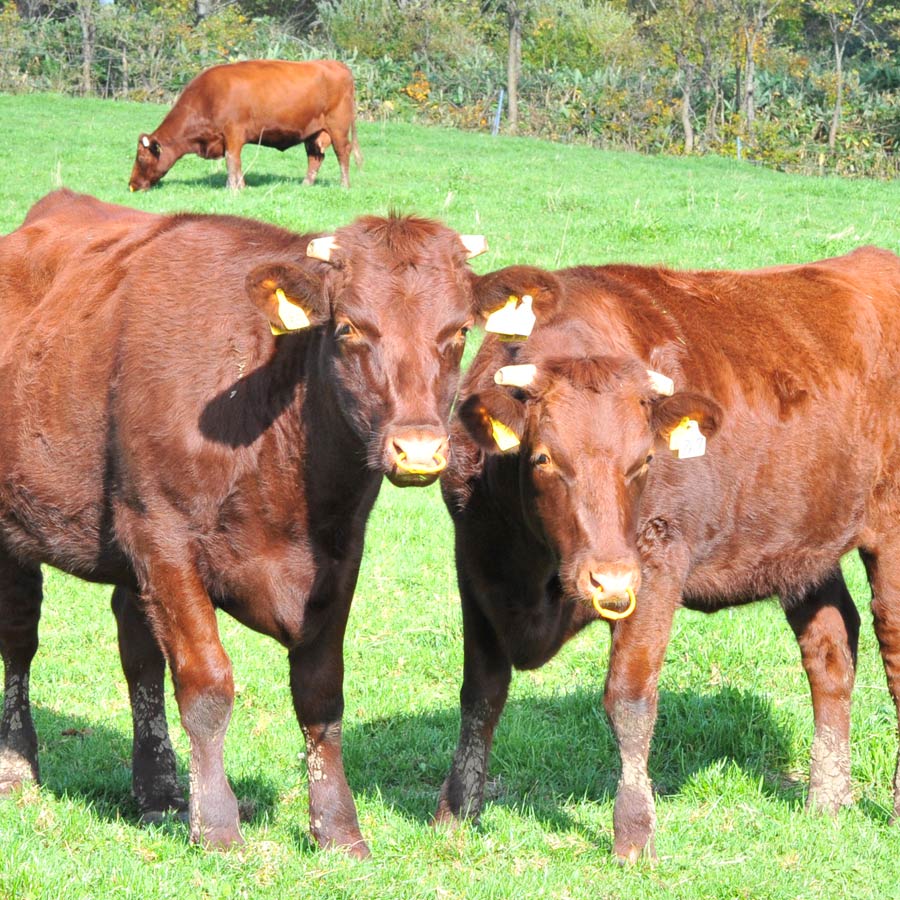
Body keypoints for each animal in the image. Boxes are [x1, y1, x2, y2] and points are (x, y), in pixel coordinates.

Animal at [0, 188, 486, 856]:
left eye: (460, 331)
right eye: (349, 327)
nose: (418, 450)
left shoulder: (340, 554)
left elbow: (320, 694)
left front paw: (339, 831)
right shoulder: (163, 536)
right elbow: (207, 685)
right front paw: (217, 825)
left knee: (137, 651)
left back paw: (159, 792)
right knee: (19, 638)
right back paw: (18, 767)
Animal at [130, 58, 362, 192]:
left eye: (141, 158)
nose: (131, 184)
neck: (207, 96)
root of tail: (336, 64)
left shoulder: (233, 133)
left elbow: (233, 161)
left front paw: (236, 188)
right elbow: (231, 162)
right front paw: (232, 186)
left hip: (338, 127)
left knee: (343, 152)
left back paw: (345, 185)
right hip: (313, 134)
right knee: (315, 157)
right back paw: (306, 185)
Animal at [436, 250, 900, 860]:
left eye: (643, 462)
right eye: (543, 458)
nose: (607, 580)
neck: (536, 573)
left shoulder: (655, 565)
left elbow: (630, 701)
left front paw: (634, 835)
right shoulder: (475, 563)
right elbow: (481, 696)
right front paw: (454, 815)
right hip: (803, 543)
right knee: (830, 649)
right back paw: (827, 800)